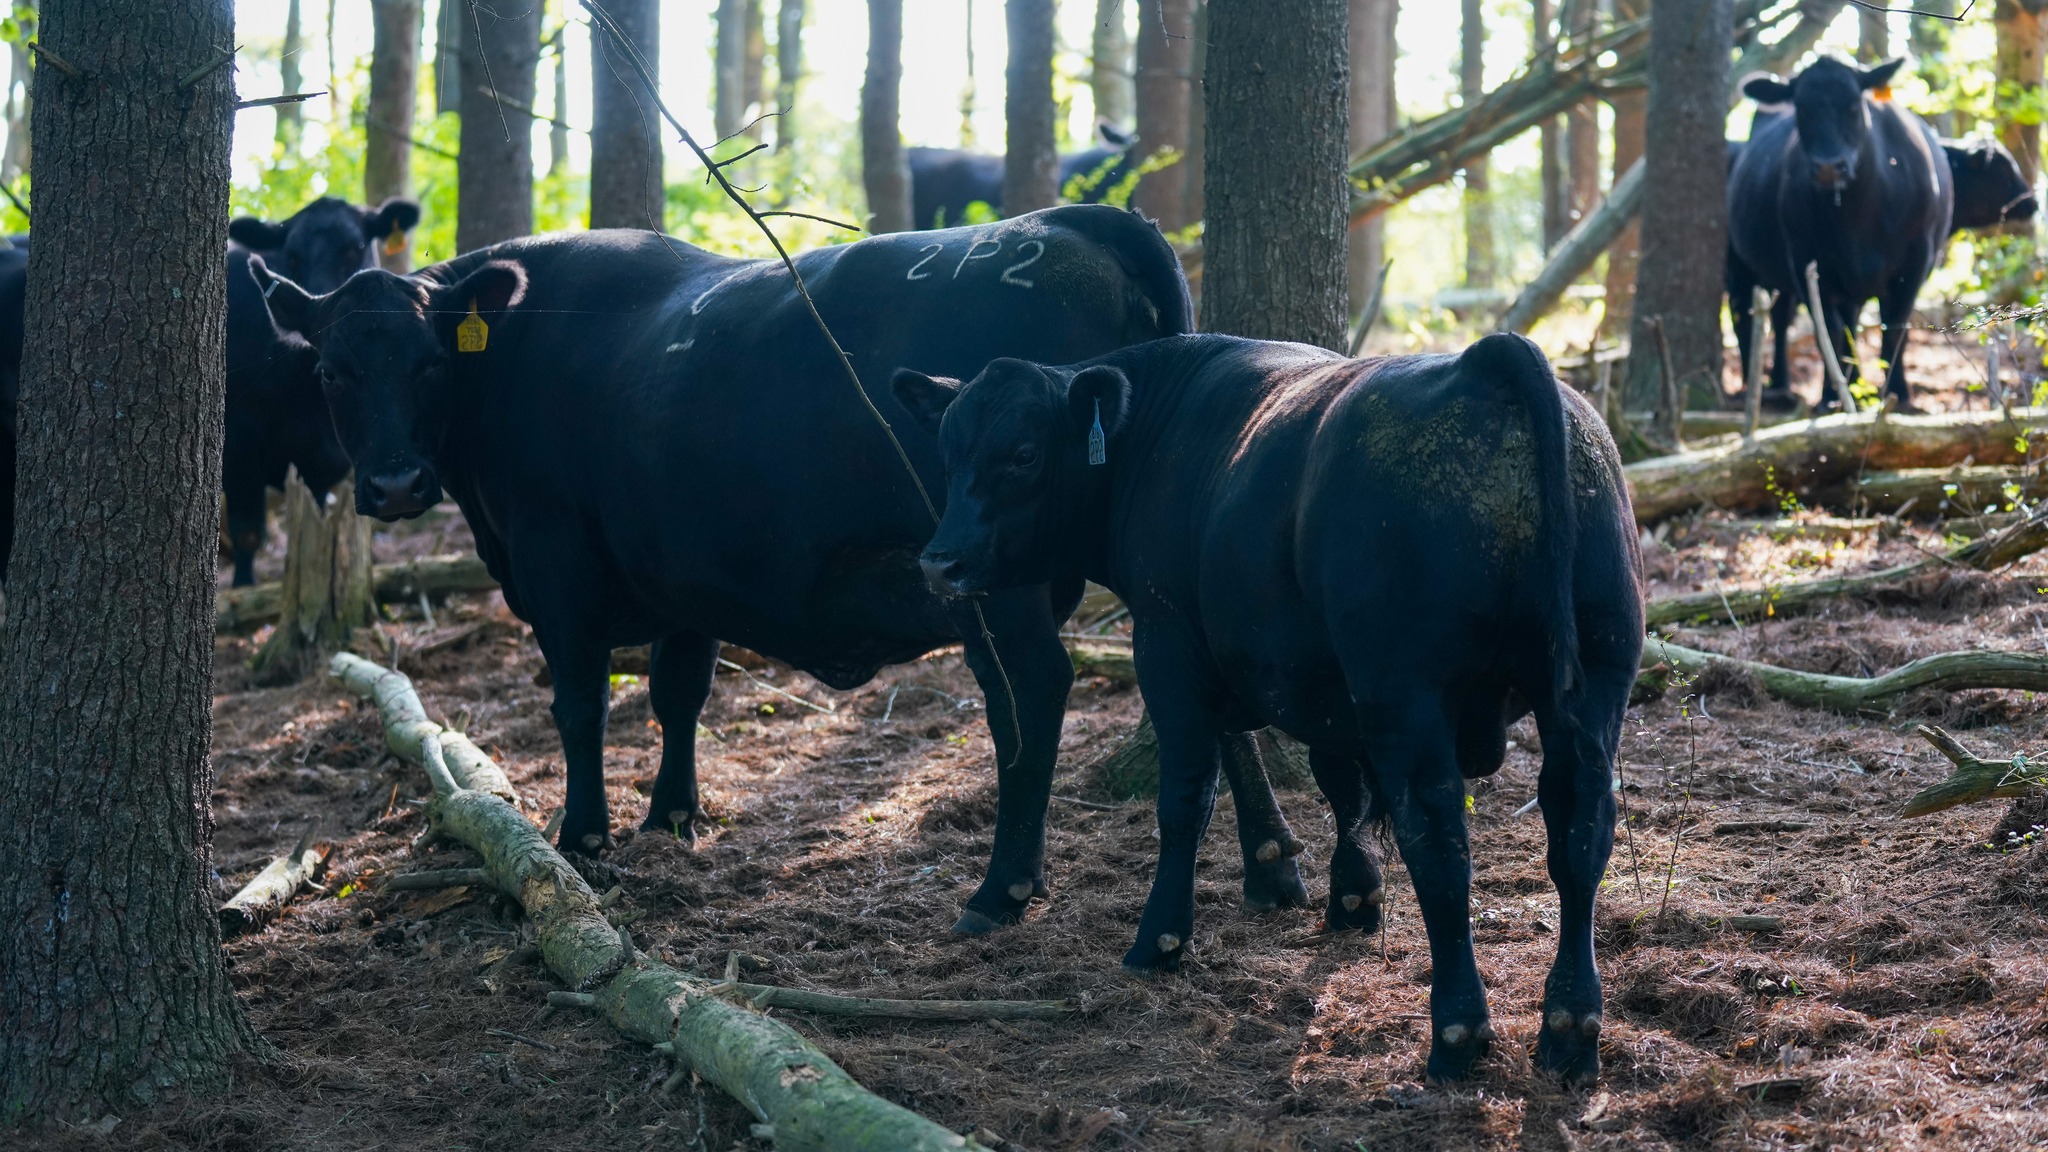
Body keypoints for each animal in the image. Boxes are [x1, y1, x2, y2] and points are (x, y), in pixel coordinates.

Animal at [0, 196, 419, 585]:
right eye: (291, 256)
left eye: (356, 247)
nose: (319, 316)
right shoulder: (238, 442)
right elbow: (248, 532)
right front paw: (244, 587)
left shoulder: (321, 460)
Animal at [248, 205, 1317, 934]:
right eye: (332, 369)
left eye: (430, 364)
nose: (393, 482)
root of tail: (1065, 222)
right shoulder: (683, 571)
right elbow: (678, 694)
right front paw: (672, 818)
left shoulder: (556, 563)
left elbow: (580, 703)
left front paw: (582, 836)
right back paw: (1271, 865)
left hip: (996, 575)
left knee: (1032, 693)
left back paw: (1002, 887)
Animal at [894, 332, 1644, 1083]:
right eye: (947, 453)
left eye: (1023, 454)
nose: (937, 563)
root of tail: (1482, 364)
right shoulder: (1308, 676)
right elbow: (1338, 785)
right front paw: (1351, 897)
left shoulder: (1168, 645)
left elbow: (1187, 798)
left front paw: (1161, 940)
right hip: (1595, 679)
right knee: (1580, 832)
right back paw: (1570, 1029)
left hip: (1406, 692)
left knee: (1440, 845)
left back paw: (1458, 1034)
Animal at [1726, 57, 1952, 412]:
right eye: (1802, 109)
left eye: (1853, 106)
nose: (1829, 167)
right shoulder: (1805, 264)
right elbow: (1828, 333)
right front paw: (1832, 396)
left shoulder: (1916, 263)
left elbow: (1894, 328)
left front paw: (1897, 393)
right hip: (1739, 266)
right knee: (1746, 319)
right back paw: (1761, 388)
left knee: (1787, 318)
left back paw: (1791, 385)